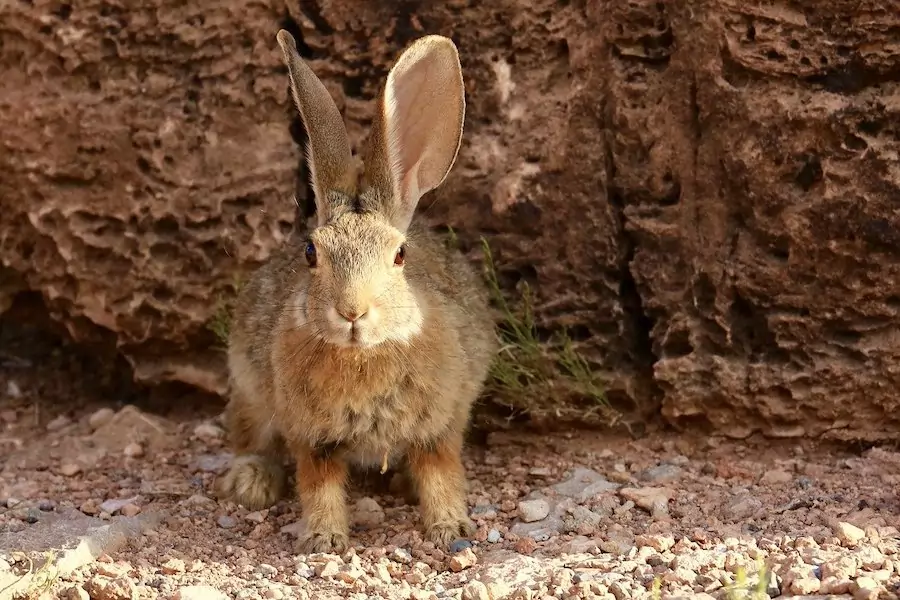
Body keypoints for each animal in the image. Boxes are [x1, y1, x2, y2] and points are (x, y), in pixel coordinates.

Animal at [218, 28, 500, 552]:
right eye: (311, 251)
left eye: (400, 255)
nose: (352, 312)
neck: (363, 354)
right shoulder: (312, 436)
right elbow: (319, 485)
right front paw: (324, 541)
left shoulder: (440, 426)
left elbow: (441, 476)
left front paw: (449, 529)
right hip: (248, 390)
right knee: (250, 438)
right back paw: (250, 482)